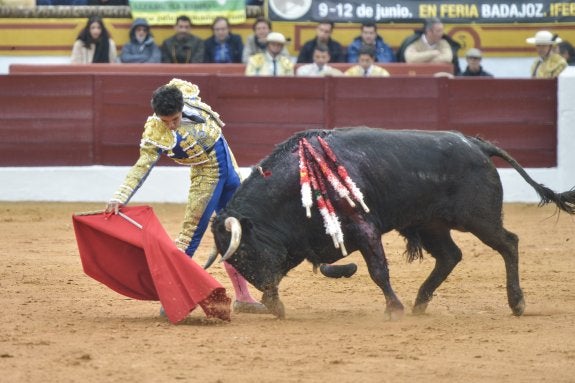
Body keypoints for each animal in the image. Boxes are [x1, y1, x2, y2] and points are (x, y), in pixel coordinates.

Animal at [212, 127, 575, 320]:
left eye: (245, 253)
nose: (273, 305)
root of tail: (476, 144)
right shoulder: (310, 241)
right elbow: (328, 265)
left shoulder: (364, 227)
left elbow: (377, 270)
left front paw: (393, 308)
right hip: (431, 225)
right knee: (450, 256)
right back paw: (420, 302)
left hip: (478, 219)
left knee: (508, 243)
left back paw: (517, 302)